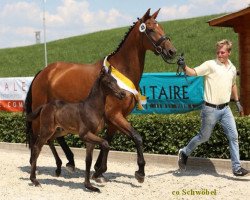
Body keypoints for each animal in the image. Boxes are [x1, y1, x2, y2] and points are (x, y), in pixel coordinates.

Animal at [24, 9, 176, 184]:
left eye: (161, 27)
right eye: (150, 29)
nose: (171, 51)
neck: (121, 70)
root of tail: (43, 72)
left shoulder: (115, 119)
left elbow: (108, 141)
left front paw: (99, 171)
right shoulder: (115, 115)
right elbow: (137, 137)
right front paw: (140, 172)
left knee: (53, 138)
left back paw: (65, 163)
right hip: (40, 116)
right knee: (40, 139)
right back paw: (39, 166)